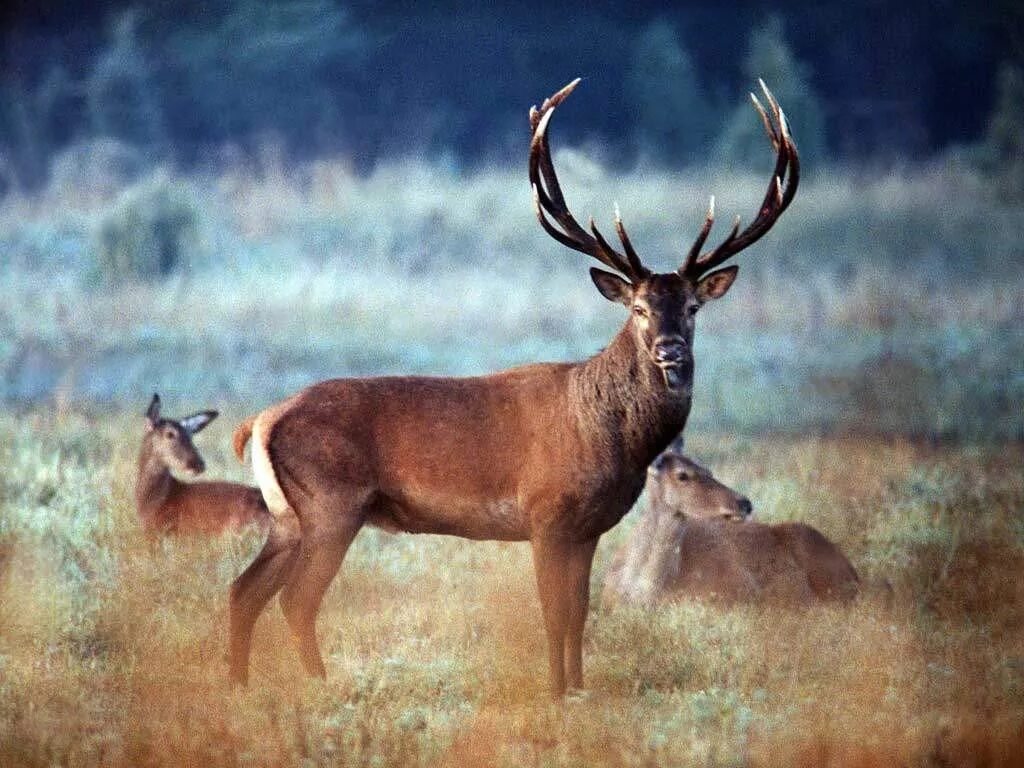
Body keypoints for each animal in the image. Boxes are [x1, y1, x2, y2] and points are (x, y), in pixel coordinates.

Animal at [230, 79, 798, 696]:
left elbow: (579, 613)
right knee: (295, 600)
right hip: (331, 504)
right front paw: (555, 692)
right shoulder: (545, 515)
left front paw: (578, 688)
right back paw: (320, 686)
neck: (609, 435)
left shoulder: (587, 529)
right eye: (640, 308)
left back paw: (239, 686)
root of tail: (259, 421)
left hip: (287, 516)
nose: (670, 350)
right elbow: (554, 614)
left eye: (693, 307)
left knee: (243, 590)